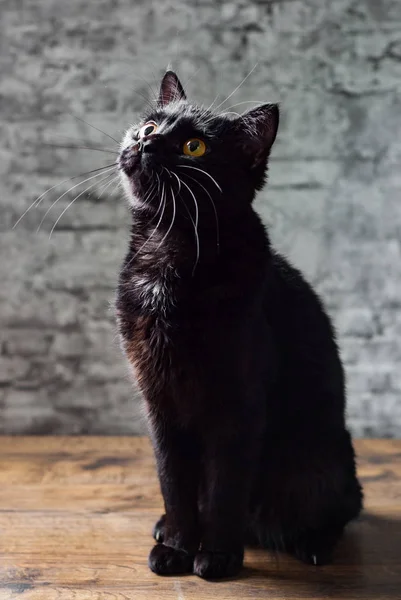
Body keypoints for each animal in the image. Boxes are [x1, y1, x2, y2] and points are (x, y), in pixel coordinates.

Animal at [115, 71, 362, 580]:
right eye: (150, 124)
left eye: (194, 147)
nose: (146, 141)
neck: (168, 248)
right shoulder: (159, 402)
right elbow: (173, 480)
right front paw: (176, 546)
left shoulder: (238, 407)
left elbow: (224, 488)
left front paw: (218, 556)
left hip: (318, 462)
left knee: (341, 509)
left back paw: (312, 544)